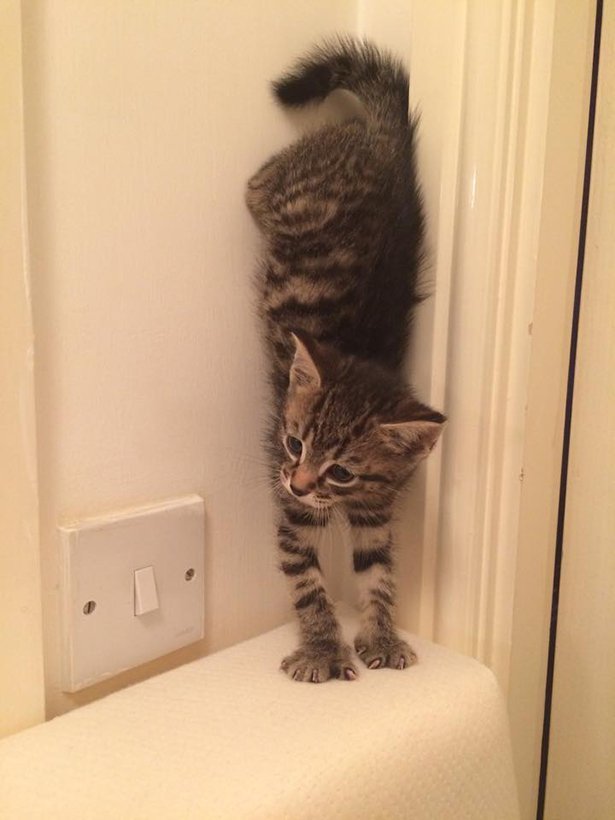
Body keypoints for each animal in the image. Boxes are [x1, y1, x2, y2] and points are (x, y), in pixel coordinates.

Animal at [246, 37, 446, 683]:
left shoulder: (377, 505)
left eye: (343, 472)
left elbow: (379, 572)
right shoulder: (291, 508)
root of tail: (389, 149)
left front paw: (380, 634)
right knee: (260, 182)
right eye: (293, 444)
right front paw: (323, 649)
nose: (301, 482)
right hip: (293, 182)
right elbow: (306, 580)